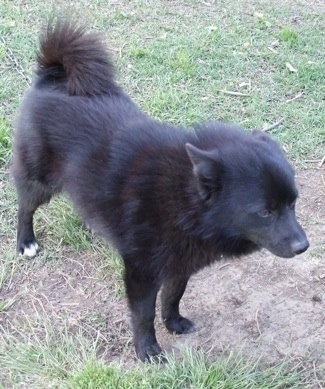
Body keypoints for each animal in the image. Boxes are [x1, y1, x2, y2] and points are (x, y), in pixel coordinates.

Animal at [11, 21, 308, 360]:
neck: (183, 199)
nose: (304, 246)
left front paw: (174, 322)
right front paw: (147, 350)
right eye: (265, 212)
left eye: (293, 204)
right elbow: (143, 313)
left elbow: (174, 295)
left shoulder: (181, 263)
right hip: (39, 180)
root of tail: (54, 76)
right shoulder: (141, 272)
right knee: (24, 207)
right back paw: (26, 242)